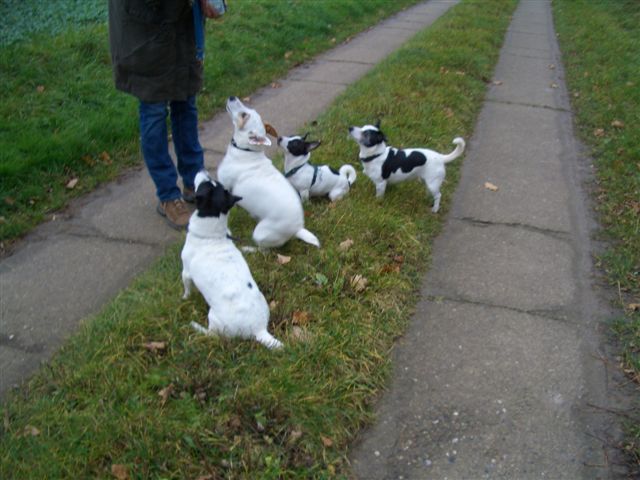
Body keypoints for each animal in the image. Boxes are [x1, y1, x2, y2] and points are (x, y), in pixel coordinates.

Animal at [179, 172, 282, 348]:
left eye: (204, 183)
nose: (203, 171)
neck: (212, 236)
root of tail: (259, 330)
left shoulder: (186, 272)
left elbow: (187, 288)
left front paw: (185, 297)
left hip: (214, 319)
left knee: (213, 335)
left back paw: (196, 327)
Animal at [218, 96, 320, 249]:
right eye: (248, 110)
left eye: (244, 115)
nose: (232, 97)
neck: (247, 150)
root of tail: (297, 229)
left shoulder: (224, 189)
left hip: (260, 234)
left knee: (263, 249)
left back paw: (247, 248)